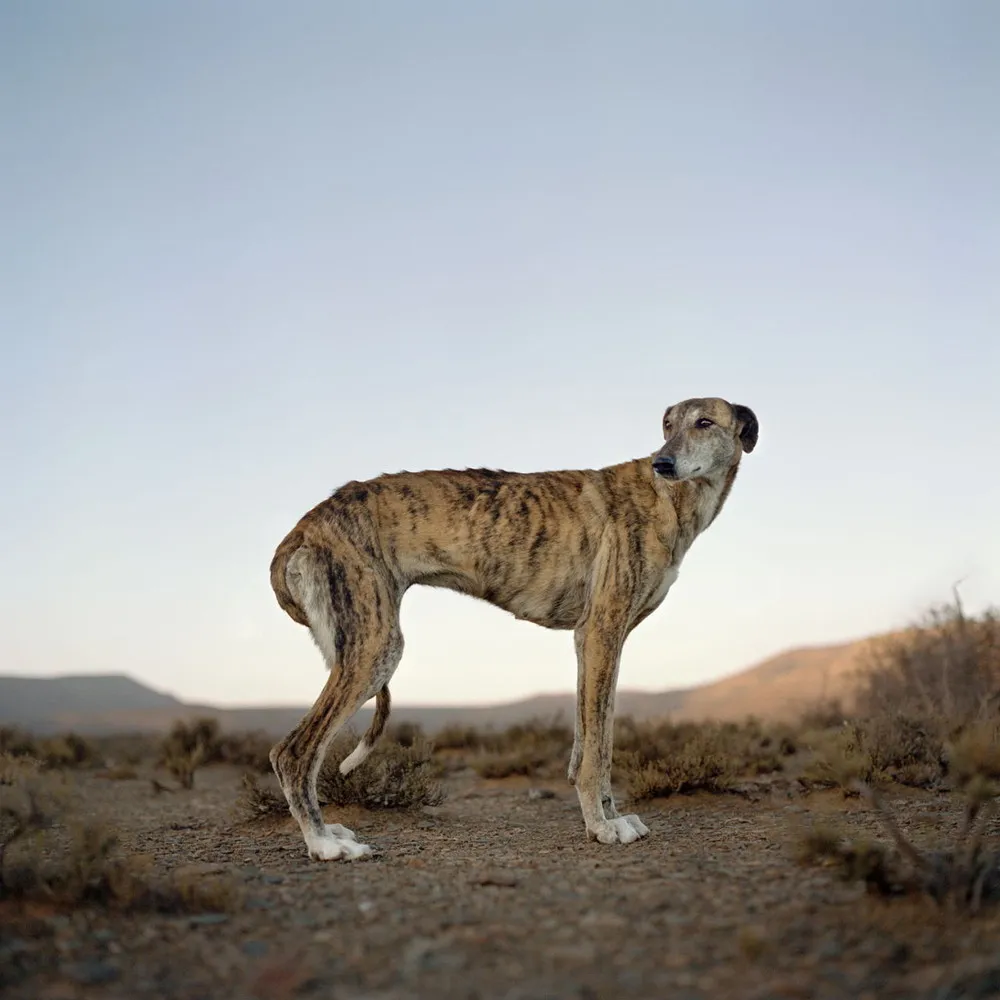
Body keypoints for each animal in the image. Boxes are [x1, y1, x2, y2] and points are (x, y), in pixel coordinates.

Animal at [268, 392, 756, 860]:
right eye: (668, 426)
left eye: (704, 422)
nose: (663, 463)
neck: (667, 499)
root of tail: (304, 526)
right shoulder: (601, 630)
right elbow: (597, 752)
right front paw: (602, 827)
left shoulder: (594, 642)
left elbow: (594, 741)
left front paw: (611, 817)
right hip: (375, 648)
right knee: (292, 753)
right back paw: (323, 844)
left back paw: (329, 831)